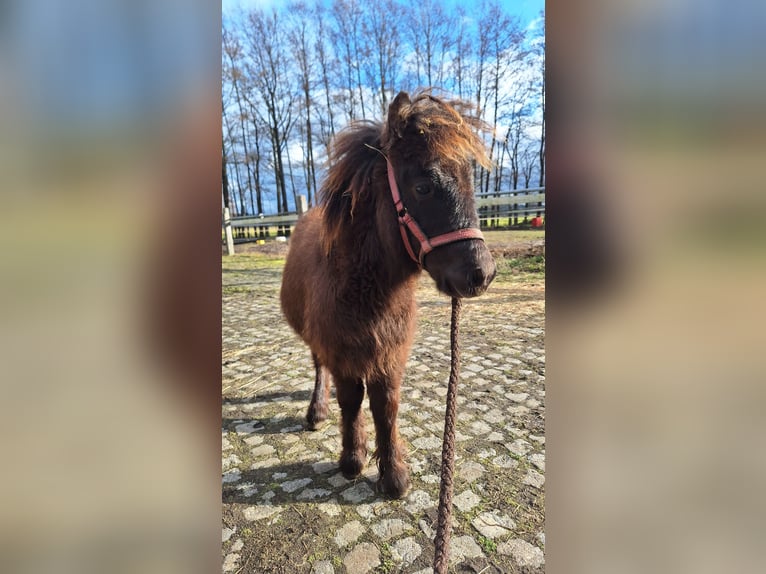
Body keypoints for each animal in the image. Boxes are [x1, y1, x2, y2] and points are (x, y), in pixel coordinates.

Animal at [282, 90, 498, 500]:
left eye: (470, 182)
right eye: (423, 187)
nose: (482, 274)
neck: (367, 289)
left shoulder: (389, 356)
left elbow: (386, 406)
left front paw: (393, 475)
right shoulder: (343, 353)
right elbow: (351, 401)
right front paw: (353, 459)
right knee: (319, 367)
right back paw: (317, 410)